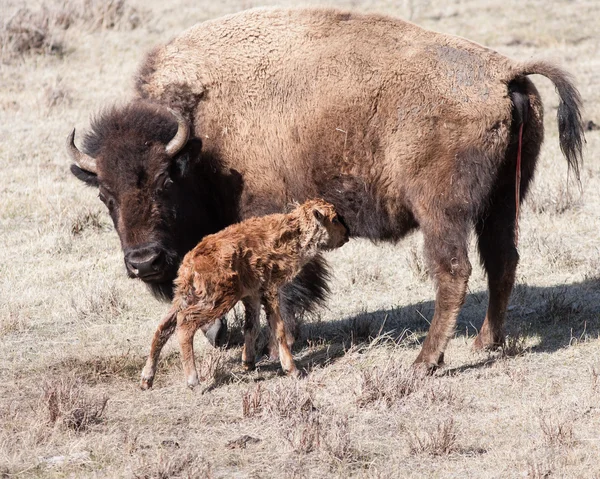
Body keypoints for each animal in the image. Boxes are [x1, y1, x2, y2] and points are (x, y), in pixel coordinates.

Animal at [68, 7, 584, 370]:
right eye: (104, 196)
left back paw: (424, 362)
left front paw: (274, 345)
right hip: (503, 203)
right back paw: (485, 342)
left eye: (165, 182)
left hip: (443, 212)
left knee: (454, 271)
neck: (202, 133)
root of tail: (504, 72)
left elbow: (283, 289)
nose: (143, 261)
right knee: (503, 261)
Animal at [141, 199, 346, 390]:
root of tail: (190, 262)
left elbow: (251, 326)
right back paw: (194, 382)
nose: (346, 234)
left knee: (163, 327)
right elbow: (278, 328)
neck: (293, 233)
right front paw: (292, 370)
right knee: (185, 324)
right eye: (334, 219)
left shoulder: (252, 295)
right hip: (218, 300)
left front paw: (248, 363)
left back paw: (146, 380)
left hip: (184, 297)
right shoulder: (271, 290)